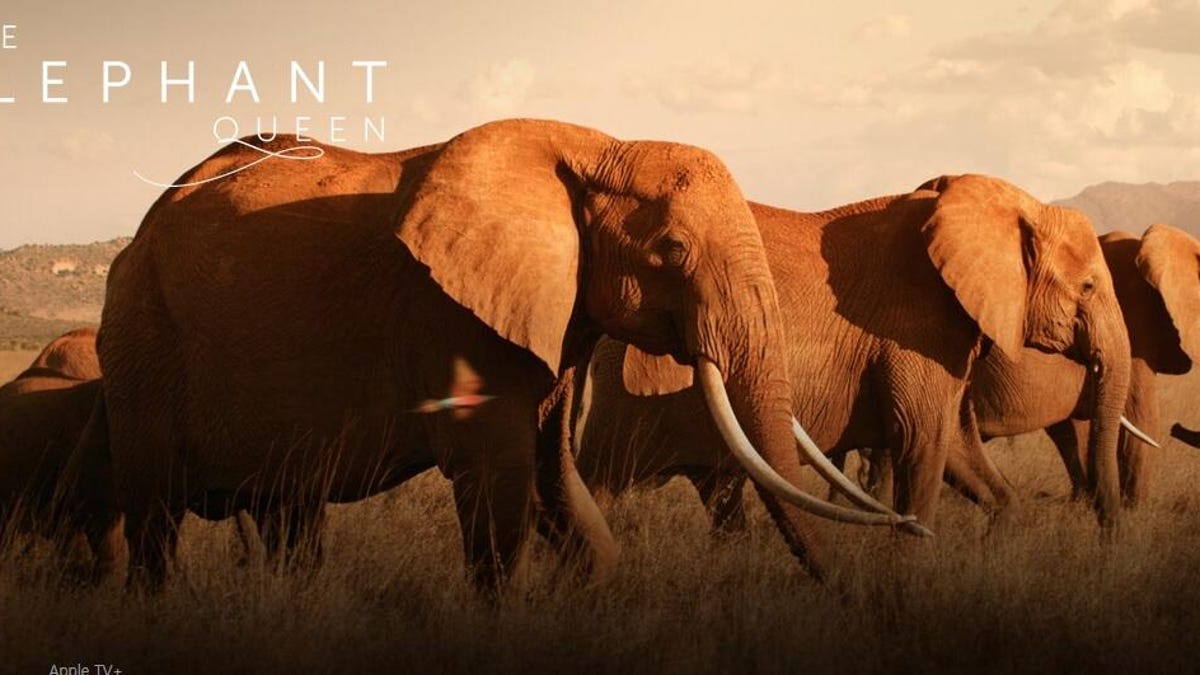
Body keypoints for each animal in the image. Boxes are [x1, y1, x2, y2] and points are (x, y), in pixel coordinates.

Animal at [75, 118, 915, 592]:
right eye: (673, 250)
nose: (853, 596)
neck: (594, 149)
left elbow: (555, 478)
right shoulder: (453, 319)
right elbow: (502, 479)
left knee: (290, 512)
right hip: (141, 341)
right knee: (154, 519)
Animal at [574, 174, 1133, 536]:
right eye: (1087, 287)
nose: (1108, 534)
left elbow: (957, 448)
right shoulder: (914, 328)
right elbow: (923, 443)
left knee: (721, 497)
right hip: (623, 402)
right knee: (599, 479)